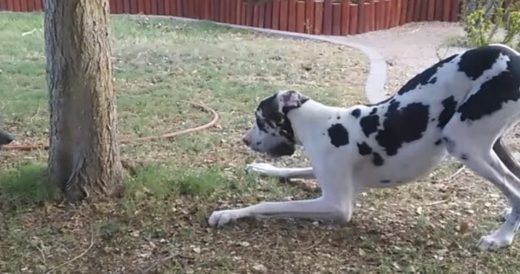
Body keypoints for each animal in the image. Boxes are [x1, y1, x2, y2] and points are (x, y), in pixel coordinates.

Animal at [209, 43, 520, 250]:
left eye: (259, 120)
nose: (245, 140)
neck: (318, 123)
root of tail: (513, 56)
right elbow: (293, 170)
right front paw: (263, 168)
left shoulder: (336, 205)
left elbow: (269, 204)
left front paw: (228, 213)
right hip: (491, 146)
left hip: (463, 143)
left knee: (513, 189)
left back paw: (501, 238)